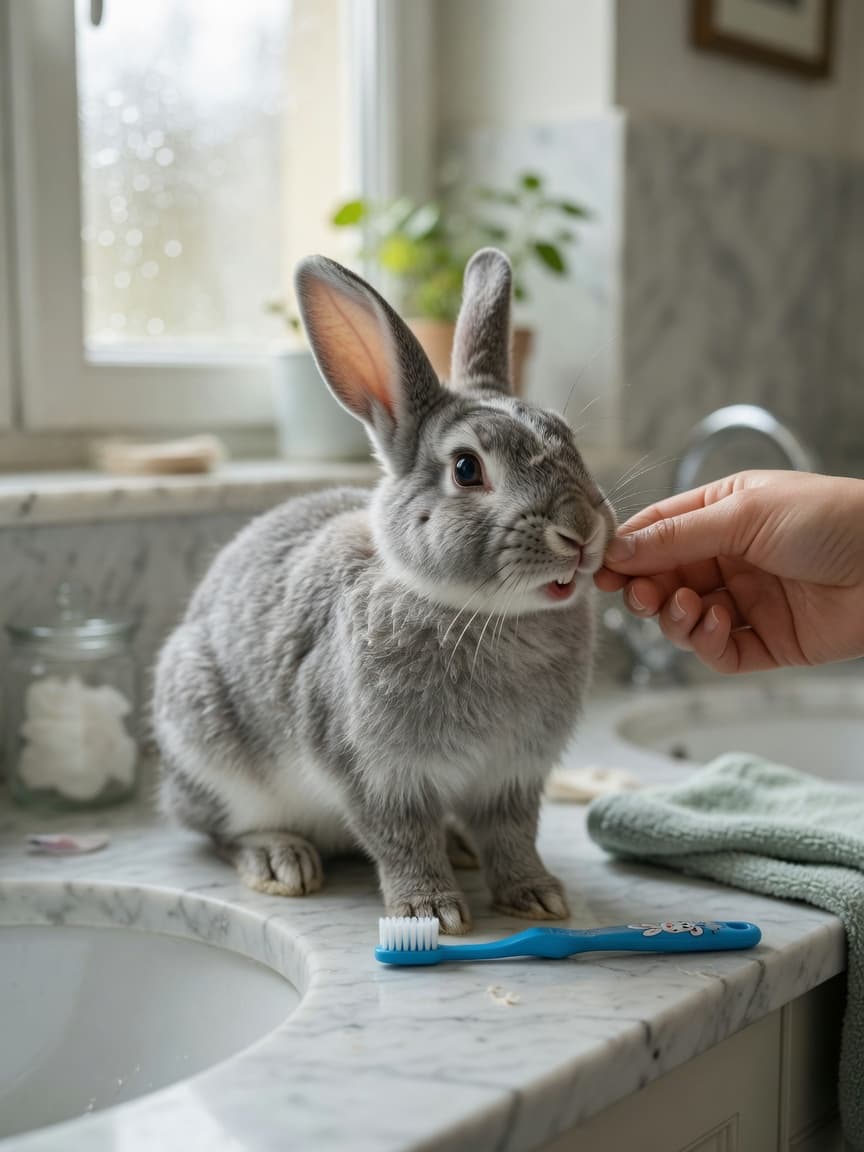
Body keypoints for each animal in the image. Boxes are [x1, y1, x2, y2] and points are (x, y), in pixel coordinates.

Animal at [153, 248, 616, 934]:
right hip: (207, 746)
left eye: (570, 441)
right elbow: (402, 839)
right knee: (220, 830)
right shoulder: (375, 771)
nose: (581, 531)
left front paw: (536, 896)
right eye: (466, 469)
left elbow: (512, 837)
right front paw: (431, 912)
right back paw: (279, 859)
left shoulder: (512, 776)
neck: (487, 614)